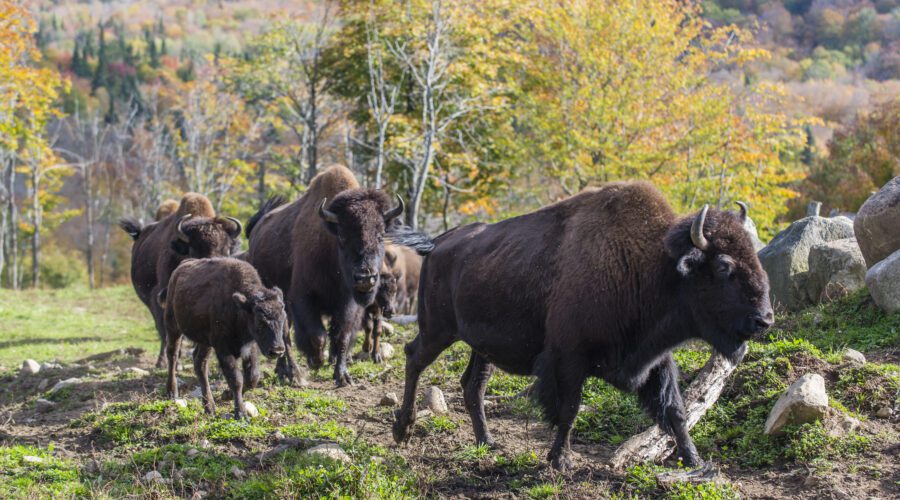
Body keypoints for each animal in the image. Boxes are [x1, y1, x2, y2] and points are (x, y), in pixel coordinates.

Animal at [119, 194, 243, 367]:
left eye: (226, 251)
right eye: (194, 250)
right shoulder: (163, 298)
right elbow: (167, 331)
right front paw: (169, 362)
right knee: (162, 328)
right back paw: (163, 361)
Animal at [159, 257, 287, 419]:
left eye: (283, 317)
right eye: (260, 320)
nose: (277, 350)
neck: (240, 309)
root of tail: (182, 266)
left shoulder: (250, 347)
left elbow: (252, 377)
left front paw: (226, 395)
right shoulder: (223, 349)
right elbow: (236, 379)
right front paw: (240, 413)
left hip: (205, 342)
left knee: (200, 363)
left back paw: (209, 407)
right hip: (173, 327)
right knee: (173, 355)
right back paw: (172, 392)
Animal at [246, 165, 426, 386]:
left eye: (381, 235)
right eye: (342, 236)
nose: (365, 277)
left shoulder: (348, 304)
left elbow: (342, 336)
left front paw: (342, 376)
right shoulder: (302, 298)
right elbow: (317, 335)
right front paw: (316, 361)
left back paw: (285, 371)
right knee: (285, 336)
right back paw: (292, 374)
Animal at [393, 182, 773, 470]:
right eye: (724, 266)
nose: (764, 319)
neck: (651, 266)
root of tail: (439, 243)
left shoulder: (655, 359)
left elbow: (675, 410)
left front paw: (695, 460)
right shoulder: (569, 359)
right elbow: (569, 410)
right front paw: (560, 461)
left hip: (481, 346)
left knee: (473, 386)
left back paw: (487, 442)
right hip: (437, 330)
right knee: (414, 358)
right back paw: (402, 430)